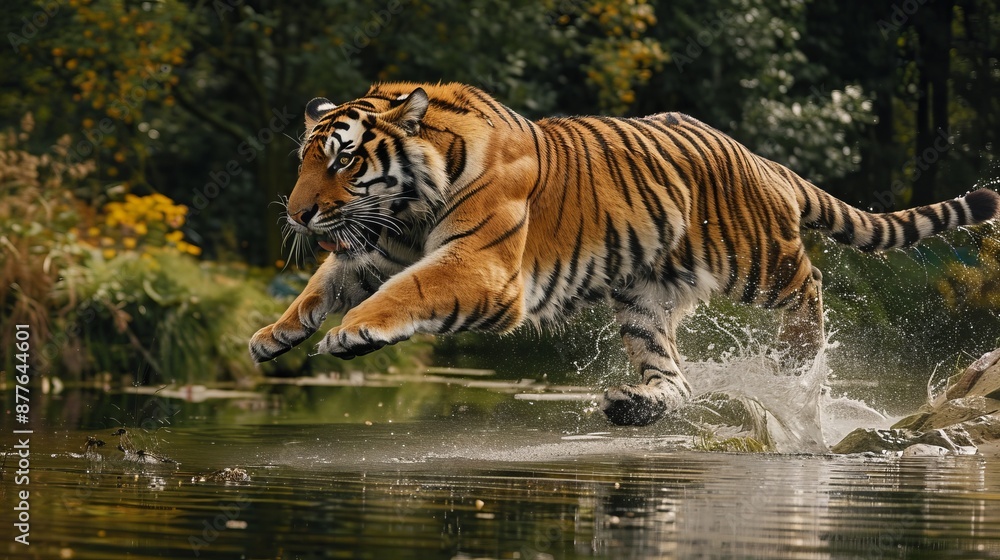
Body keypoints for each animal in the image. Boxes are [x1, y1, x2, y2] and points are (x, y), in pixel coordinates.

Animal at [249, 81, 999, 427]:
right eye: (306, 159)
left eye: (345, 161)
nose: (297, 212)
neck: (407, 209)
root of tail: (760, 158)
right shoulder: (377, 248)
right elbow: (323, 281)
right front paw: (271, 336)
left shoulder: (481, 267)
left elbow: (403, 293)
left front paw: (351, 333)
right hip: (641, 298)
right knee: (676, 375)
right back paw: (635, 405)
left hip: (755, 258)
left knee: (809, 283)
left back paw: (795, 358)